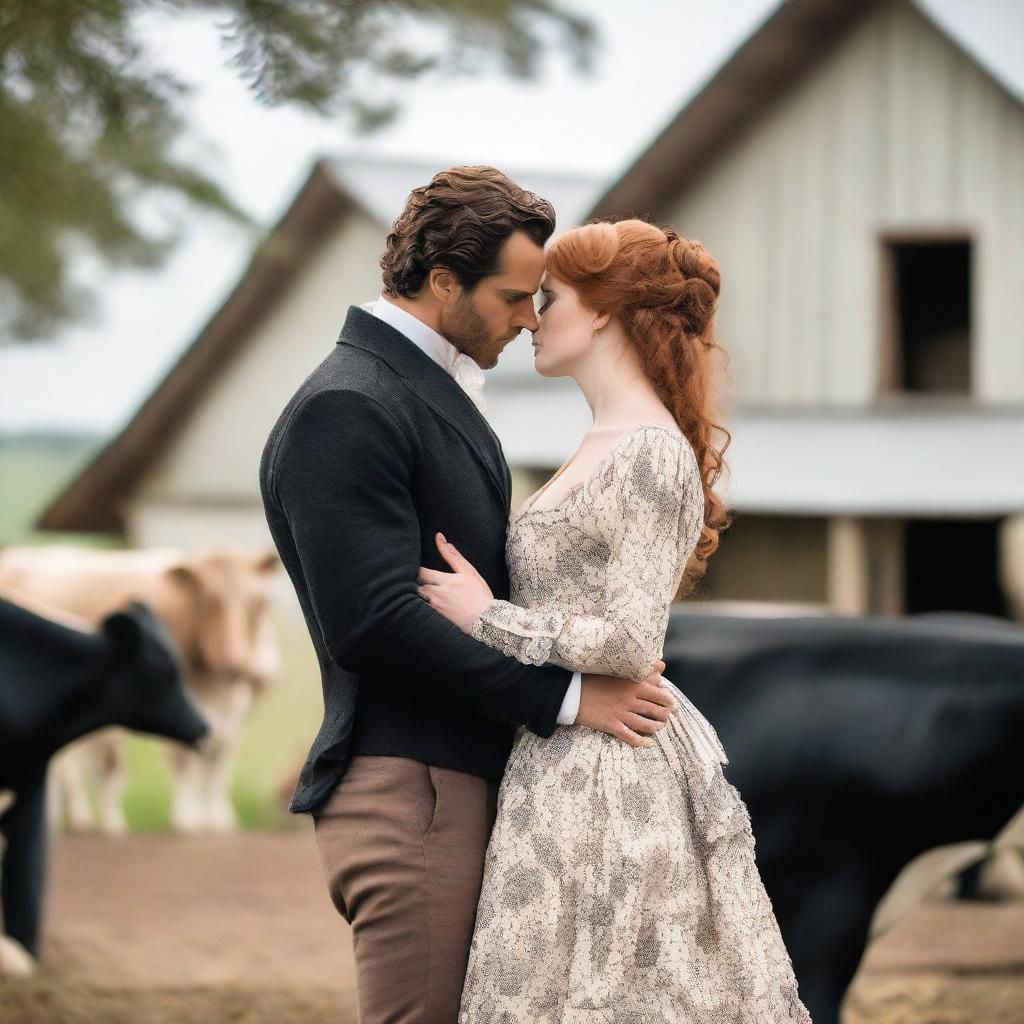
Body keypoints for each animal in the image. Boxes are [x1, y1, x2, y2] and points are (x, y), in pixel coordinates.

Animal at [0, 544, 282, 831]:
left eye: (258, 603)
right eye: (210, 600)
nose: (249, 669)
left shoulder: (229, 714)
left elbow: (217, 765)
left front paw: (218, 819)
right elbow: (172, 762)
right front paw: (182, 819)